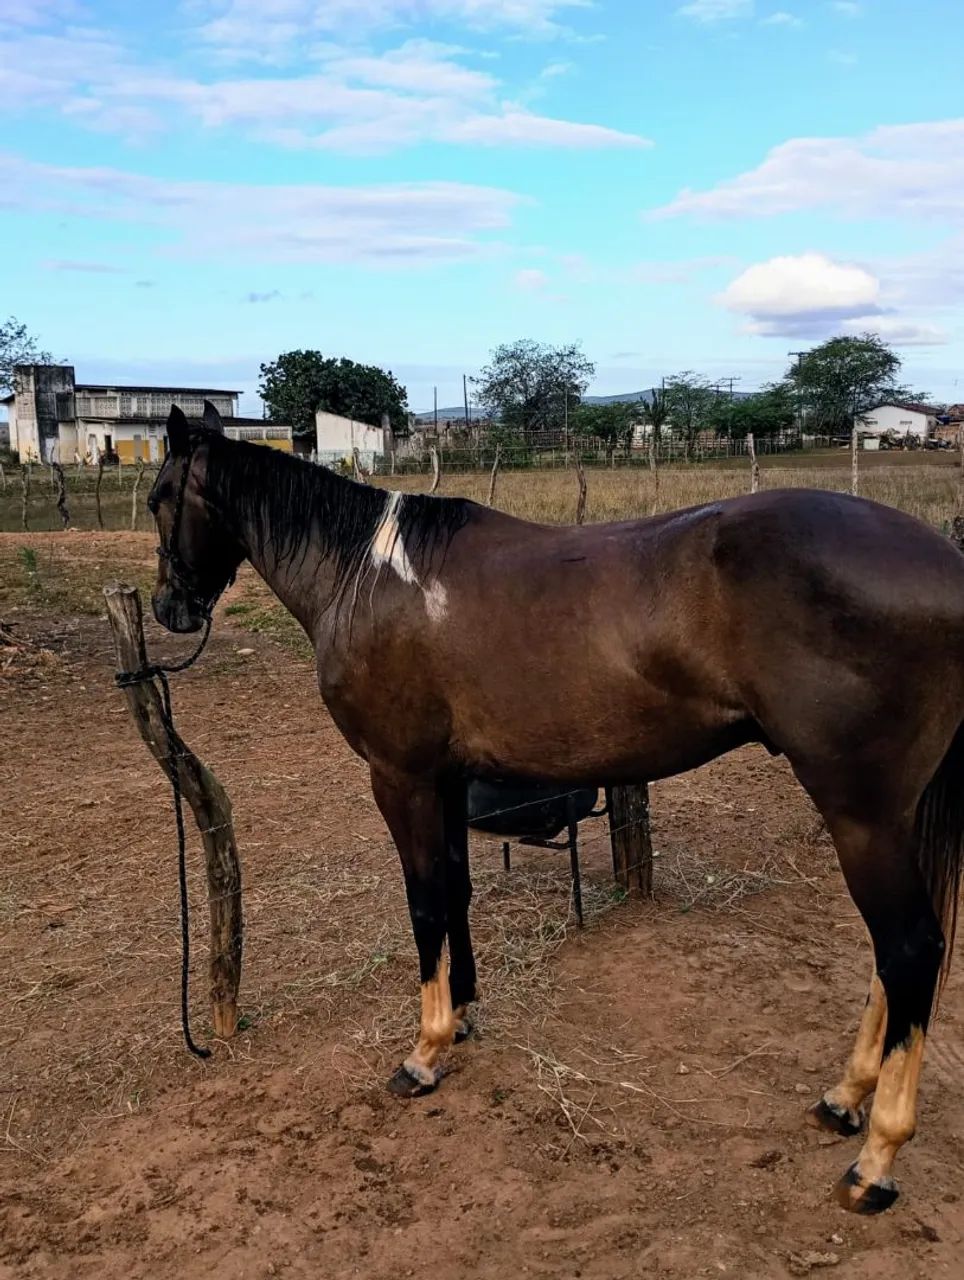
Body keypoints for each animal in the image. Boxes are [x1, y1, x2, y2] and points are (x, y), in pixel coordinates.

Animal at [147, 402, 964, 1216]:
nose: (168, 607)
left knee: (910, 948)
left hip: (862, 814)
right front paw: (462, 1019)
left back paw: (874, 1160)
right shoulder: (448, 780)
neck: (367, 577)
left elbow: (425, 904)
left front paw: (423, 1054)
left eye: (159, 498)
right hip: (891, 817)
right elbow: (456, 893)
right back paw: (843, 1098)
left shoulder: (401, 777)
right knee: (892, 959)